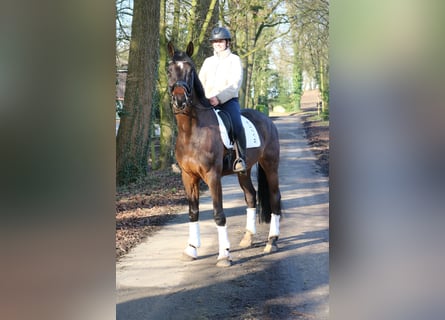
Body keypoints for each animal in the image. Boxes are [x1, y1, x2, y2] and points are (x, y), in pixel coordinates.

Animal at [166, 42, 280, 268]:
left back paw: (271, 241)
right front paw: (191, 249)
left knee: (275, 198)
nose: (180, 100)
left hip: (270, 166)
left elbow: (218, 214)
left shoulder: (212, 176)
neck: (191, 131)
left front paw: (224, 255)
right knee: (251, 197)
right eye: (169, 70)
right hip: (244, 171)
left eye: (191, 71)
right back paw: (247, 237)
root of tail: (268, 120)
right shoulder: (188, 176)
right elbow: (193, 212)